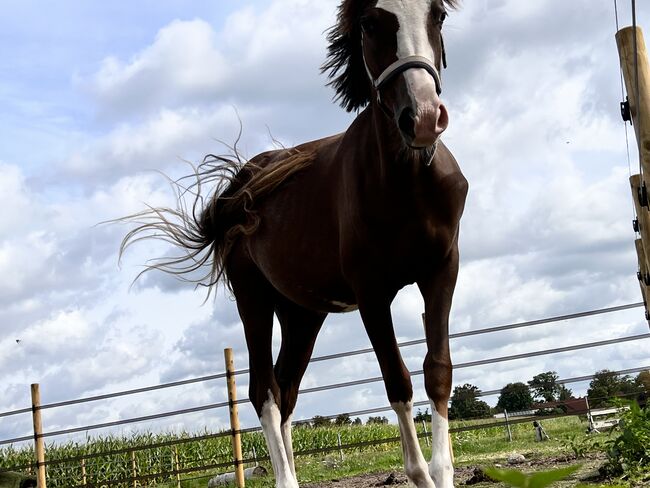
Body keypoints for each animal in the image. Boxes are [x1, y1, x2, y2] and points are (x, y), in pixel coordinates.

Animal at [120, 0, 466, 488]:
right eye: (369, 22)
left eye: (437, 15)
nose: (422, 118)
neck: (409, 183)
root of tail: (239, 189)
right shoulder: (372, 293)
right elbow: (396, 380)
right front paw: (420, 472)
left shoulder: (441, 272)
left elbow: (437, 371)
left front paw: (442, 470)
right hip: (255, 300)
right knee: (265, 391)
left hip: (303, 315)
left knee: (286, 392)